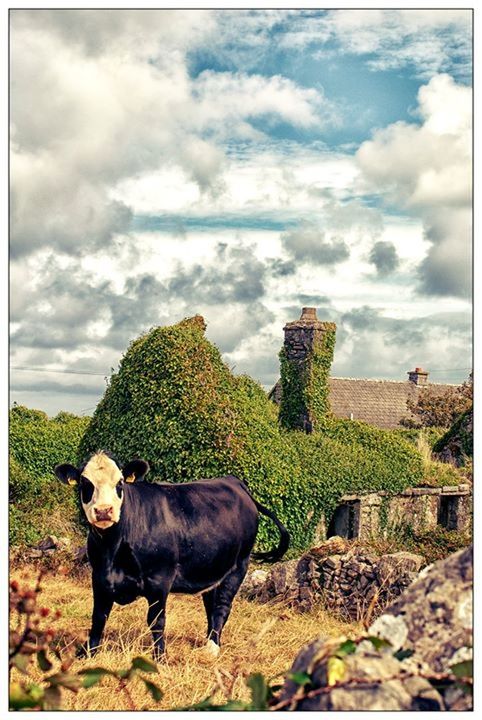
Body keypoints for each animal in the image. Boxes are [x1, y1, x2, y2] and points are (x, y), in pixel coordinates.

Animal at [54, 452, 288, 660]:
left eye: (120, 483)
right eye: (85, 483)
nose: (104, 511)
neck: (114, 547)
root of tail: (234, 482)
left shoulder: (160, 579)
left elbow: (156, 621)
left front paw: (160, 657)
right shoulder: (100, 577)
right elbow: (98, 616)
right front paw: (87, 652)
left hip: (239, 565)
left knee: (222, 606)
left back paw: (213, 647)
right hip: (213, 567)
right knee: (211, 605)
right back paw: (207, 641)